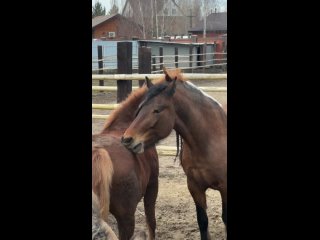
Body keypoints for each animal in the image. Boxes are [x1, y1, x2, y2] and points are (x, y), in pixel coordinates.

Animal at [121, 68, 226, 240]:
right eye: (140, 108)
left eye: (157, 109)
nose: (127, 139)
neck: (211, 140)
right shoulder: (194, 187)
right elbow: (202, 221)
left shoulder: (225, 187)